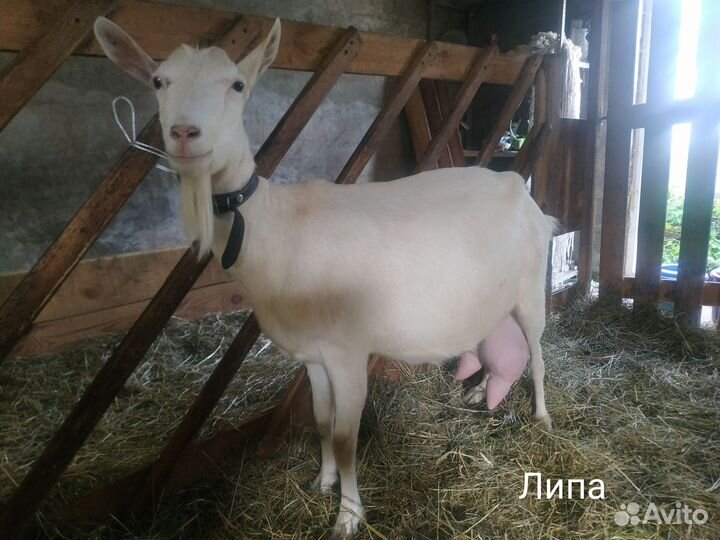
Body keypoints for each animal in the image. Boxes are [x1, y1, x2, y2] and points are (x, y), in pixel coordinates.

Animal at [94, 18, 555, 538]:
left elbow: (345, 436)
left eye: (237, 85)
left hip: (531, 290)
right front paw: (322, 482)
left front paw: (348, 516)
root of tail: (521, 190)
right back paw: (478, 391)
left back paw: (542, 417)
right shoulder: (311, 355)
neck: (276, 227)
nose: (184, 132)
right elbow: (319, 421)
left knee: (539, 353)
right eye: (158, 82)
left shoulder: (347, 352)